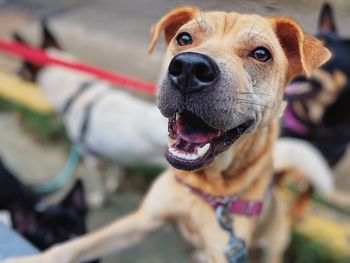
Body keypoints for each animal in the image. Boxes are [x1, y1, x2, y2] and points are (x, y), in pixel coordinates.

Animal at [4, 6, 330, 263]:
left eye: (262, 54)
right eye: (184, 38)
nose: (190, 68)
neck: (204, 186)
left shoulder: (91, 156)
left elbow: (100, 182)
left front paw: (100, 196)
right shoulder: (140, 220)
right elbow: (77, 245)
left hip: (271, 247)